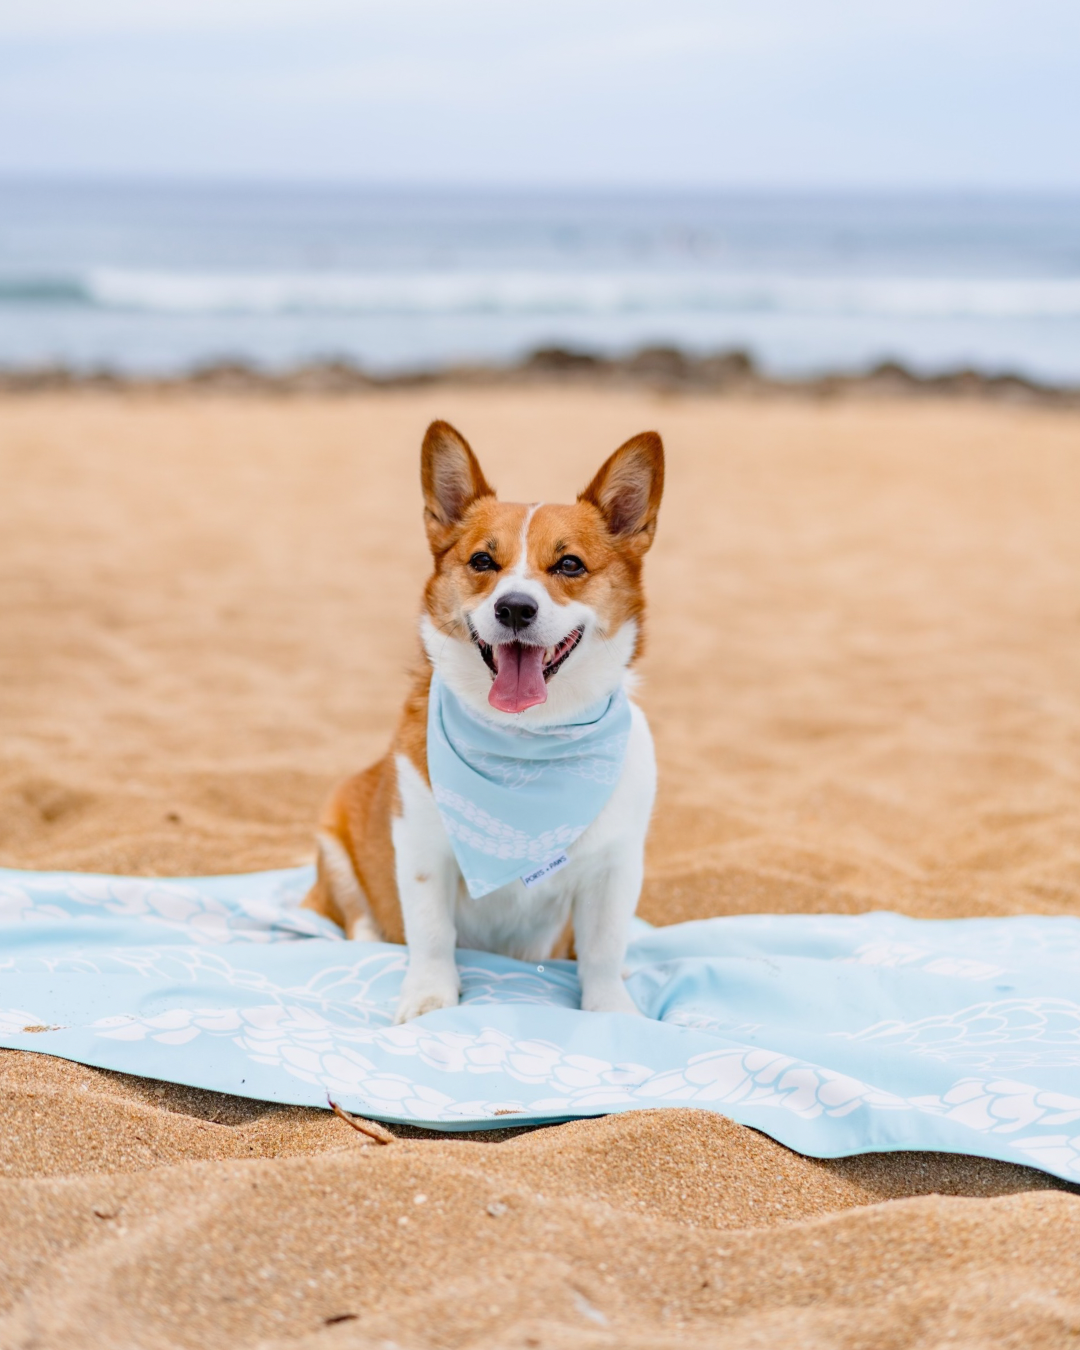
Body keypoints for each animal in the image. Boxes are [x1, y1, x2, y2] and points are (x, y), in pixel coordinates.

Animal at [299, 421, 661, 1020]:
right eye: (482, 563)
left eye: (569, 564)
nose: (514, 608)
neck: (527, 745)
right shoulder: (421, 848)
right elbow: (431, 934)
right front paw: (430, 997)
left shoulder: (615, 867)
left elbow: (603, 949)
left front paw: (612, 1009)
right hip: (335, 832)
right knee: (353, 916)